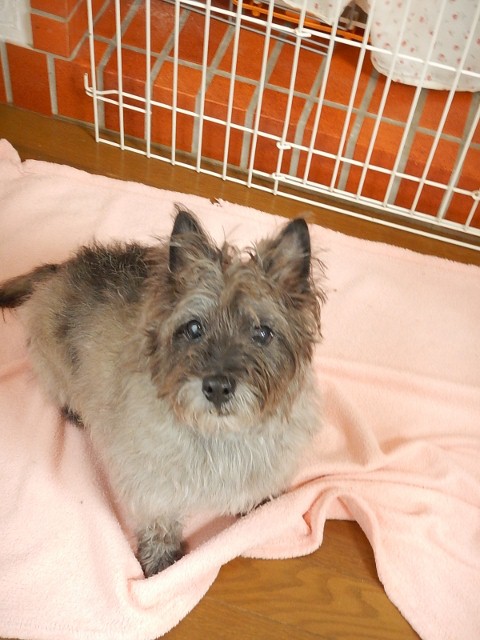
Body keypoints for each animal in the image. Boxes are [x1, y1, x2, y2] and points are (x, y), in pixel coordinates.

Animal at [0, 207, 325, 577]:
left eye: (262, 333)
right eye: (194, 328)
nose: (216, 387)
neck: (219, 436)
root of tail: (62, 269)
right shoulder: (150, 479)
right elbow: (159, 518)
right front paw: (159, 556)